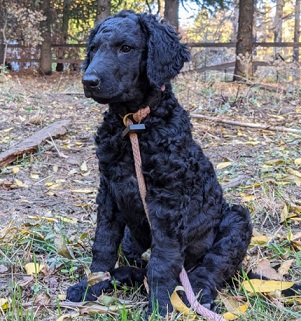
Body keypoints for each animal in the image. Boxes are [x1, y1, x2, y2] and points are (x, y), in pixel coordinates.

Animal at [67, 10, 252, 316]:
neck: (134, 124)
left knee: (212, 268)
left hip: (236, 220)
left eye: (125, 48)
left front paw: (158, 306)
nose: (88, 80)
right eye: (93, 49)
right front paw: (91, 286)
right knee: (138, 262)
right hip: (132, 239)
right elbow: (103, 244)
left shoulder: (167, 201)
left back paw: (198, 295)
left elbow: (163, 260)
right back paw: (122, 276)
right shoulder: (109, 191)